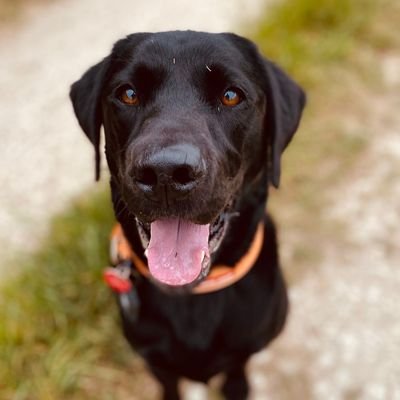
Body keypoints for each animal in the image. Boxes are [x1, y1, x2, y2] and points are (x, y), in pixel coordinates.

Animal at [70, 32, 304, 400]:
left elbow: (237, 371)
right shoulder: (155, 360)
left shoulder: (246, 348)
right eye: (128, 94)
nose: (165, 173)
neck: (191, 296)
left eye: (231, 96)